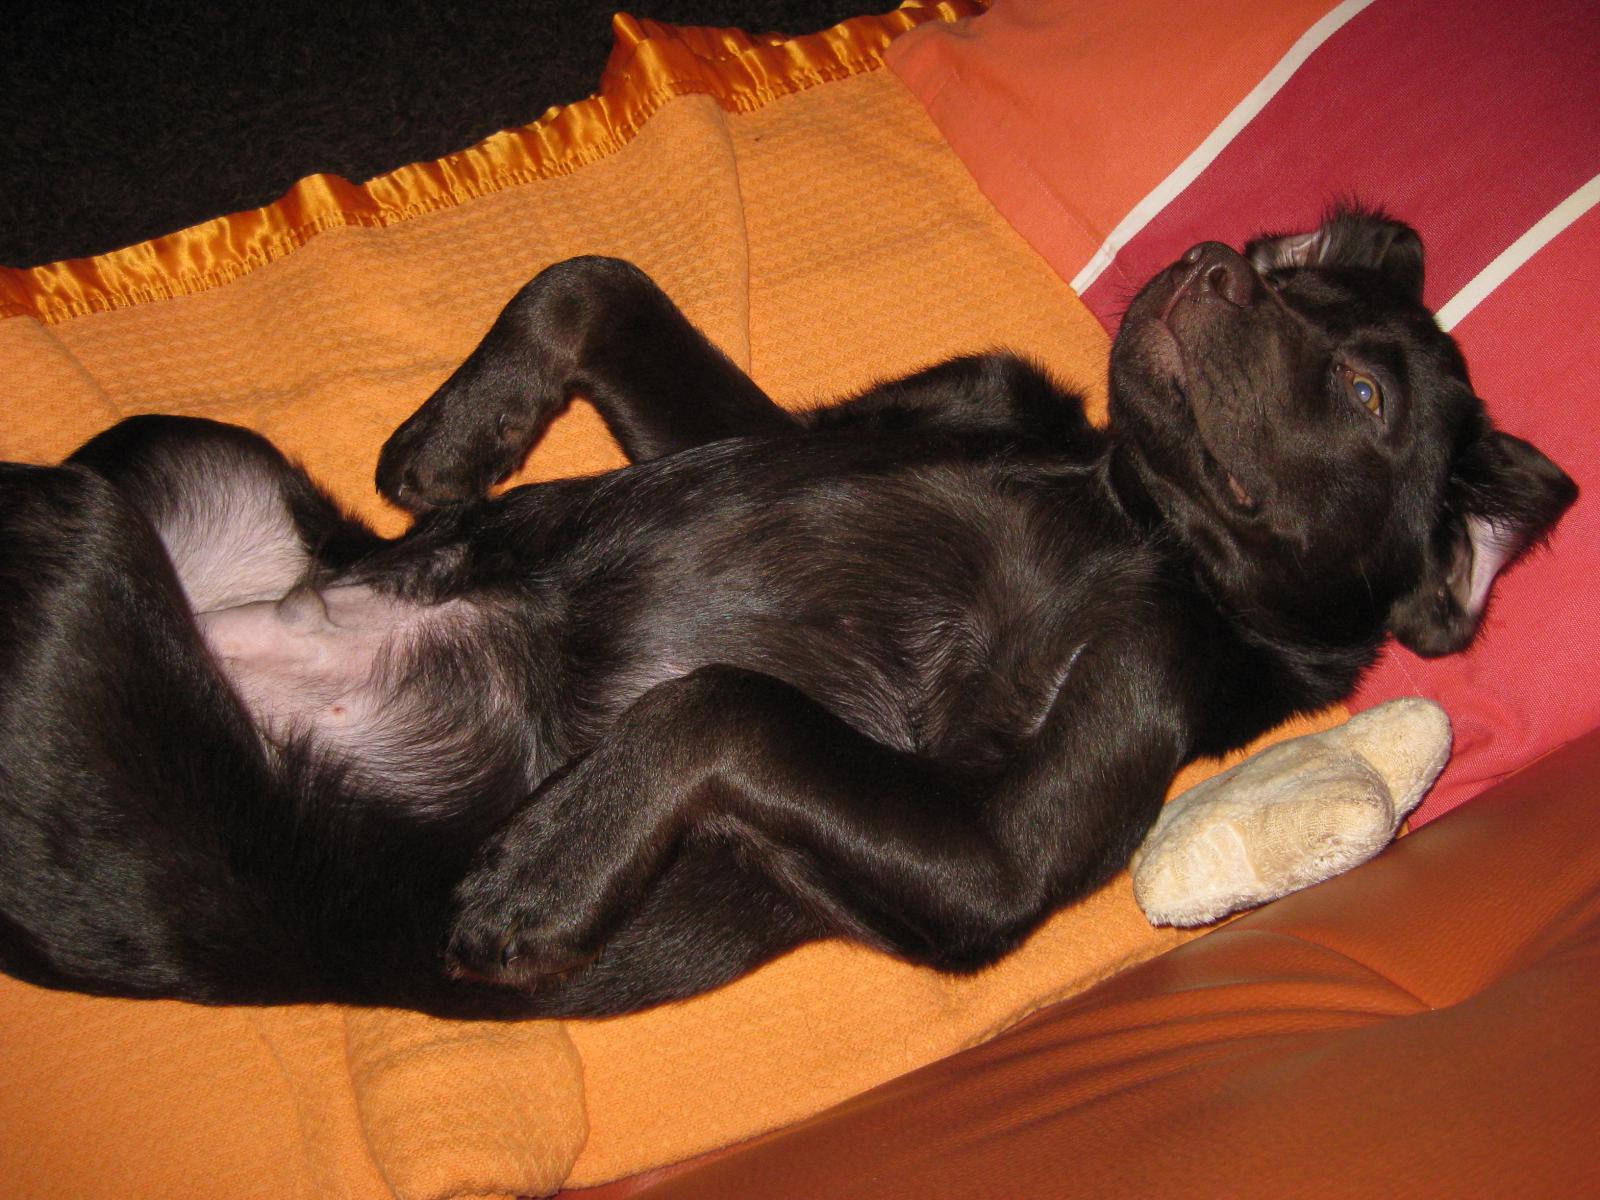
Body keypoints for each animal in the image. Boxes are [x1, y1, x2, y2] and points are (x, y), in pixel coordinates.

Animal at [0, 208, 1576, 1018]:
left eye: (1365, 395)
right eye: (1286, 262)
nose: (1214, 263)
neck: (1121, 503)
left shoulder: (996, 854)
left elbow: (728, 701)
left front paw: (542, 870)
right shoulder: (835, 421)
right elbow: (594, 279)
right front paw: (451, 453)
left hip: (87, 552)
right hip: (165, 465)